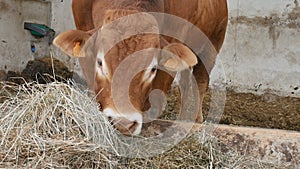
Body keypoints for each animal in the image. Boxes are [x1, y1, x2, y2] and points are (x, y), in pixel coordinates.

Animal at [54, 0, 227, 135]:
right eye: (100, 62)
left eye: (153, 68)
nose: (123, 123)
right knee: (185, 83)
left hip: (212, 44)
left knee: (201, 81)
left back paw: (196, 120)